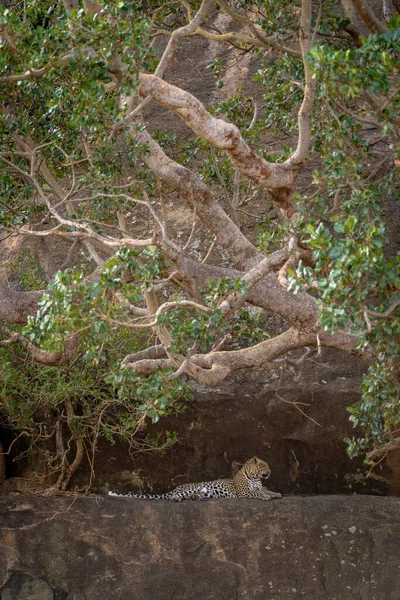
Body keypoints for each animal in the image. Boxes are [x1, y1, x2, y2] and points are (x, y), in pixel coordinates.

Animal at [107, 458, 282, 504]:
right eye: (265, 466)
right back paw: (177, 498)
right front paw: (267, 497)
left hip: (205, 492)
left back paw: (194, 498)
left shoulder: (258, 487)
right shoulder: (244, 491)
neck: (253, 477)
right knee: (173, 497)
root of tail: (176, 488)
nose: (271, 472)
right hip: (191, 488)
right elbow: (256, 493)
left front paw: (276, 493)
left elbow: (265, 489)